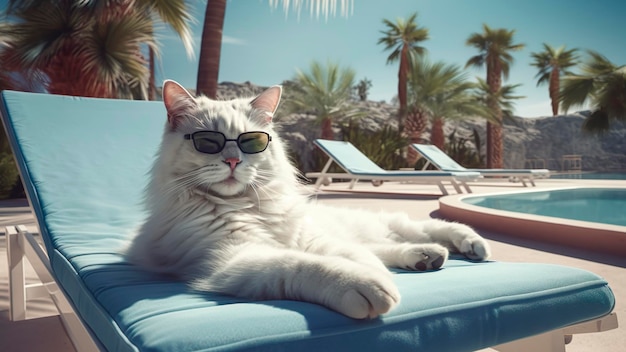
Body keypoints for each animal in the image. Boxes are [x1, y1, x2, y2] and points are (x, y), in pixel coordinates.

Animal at [124, 80, 490, 320]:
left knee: (421, 229)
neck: (247, 207)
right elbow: (306, 265)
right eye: (208, 143)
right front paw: (369, 285)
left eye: (251, 143)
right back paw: (427, 258)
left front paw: (378, 278)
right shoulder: (232, 260)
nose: (232, 161)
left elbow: (353, 256)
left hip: (377, 225)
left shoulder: (311, 239)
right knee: (394, 246)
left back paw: (471, 246)